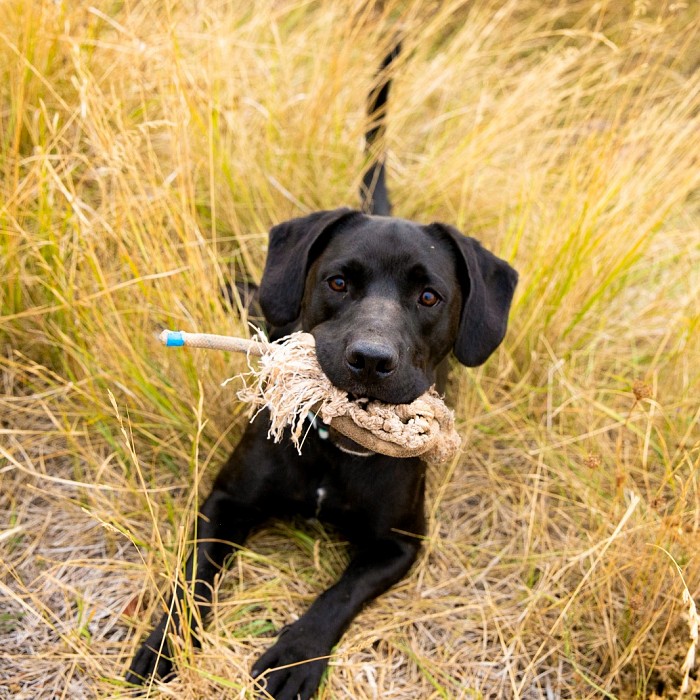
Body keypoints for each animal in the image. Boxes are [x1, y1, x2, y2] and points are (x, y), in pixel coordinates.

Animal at [127, 47, 518, 700]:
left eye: (429, 297)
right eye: (338, 281)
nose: (371, 360)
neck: (337, 449)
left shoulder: (399, 544)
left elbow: (340, 592)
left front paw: (295, 656)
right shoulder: (226, 502)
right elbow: (193, 580)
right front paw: (162, 647)